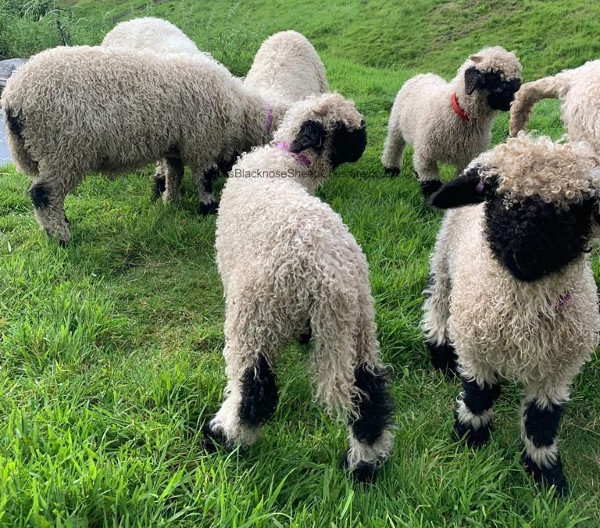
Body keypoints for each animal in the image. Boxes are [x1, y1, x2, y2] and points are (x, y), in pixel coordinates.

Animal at [1, 44, 278, 243]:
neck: (239, 109)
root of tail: (13, 96)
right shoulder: (201, 141)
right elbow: (204, 176)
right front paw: (208, 207)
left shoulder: (175, 144)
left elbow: (174, 173)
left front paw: (171, 202)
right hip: (63, 149)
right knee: (43, 194)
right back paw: (61, 237)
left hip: (44, 151)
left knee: (50, 194)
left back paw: (61, 224)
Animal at [204, 92, 396, 482]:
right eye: (348, 131)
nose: (366, 143)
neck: (286, 161)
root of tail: (329, 279)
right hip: (361, 324)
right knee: (369, 392)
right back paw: (365, 464)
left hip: (254, 319)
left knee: (254, 391)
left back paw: (224, 437)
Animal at [384, 46, 520, 196]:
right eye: (494, 77)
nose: (517, 96)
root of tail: (422, 75)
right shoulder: (427, 154)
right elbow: (431, 182)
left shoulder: (468, 159)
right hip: (396, 126)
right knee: (393, 147)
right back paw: (391, 170)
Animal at [422, 133, 600, 496]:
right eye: (494, 193)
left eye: (579, 207)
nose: (526, 256)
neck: (523, 311)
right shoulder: (475, 347)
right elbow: (478, 396)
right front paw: (470, 439)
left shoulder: (558, 370)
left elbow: (542, 421)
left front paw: (546, 474)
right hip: (444, 260)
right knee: (437, 302)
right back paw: (440, 353)